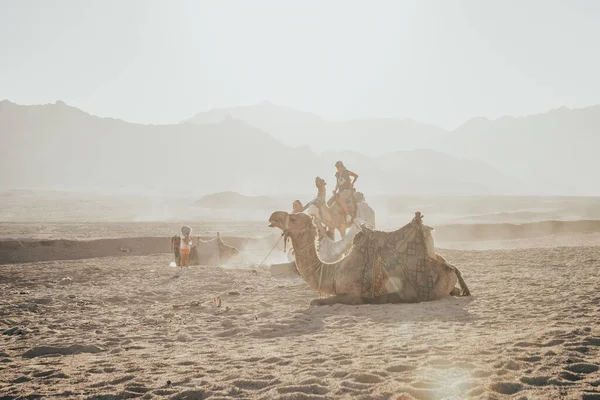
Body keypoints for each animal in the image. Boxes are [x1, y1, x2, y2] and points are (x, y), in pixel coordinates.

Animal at [270, 209, 472, 306]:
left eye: (294, 219)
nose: (273, 216)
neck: (333, 269)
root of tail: (450, 266)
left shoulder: (354, 296)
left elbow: (315, 301)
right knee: (454, 291)